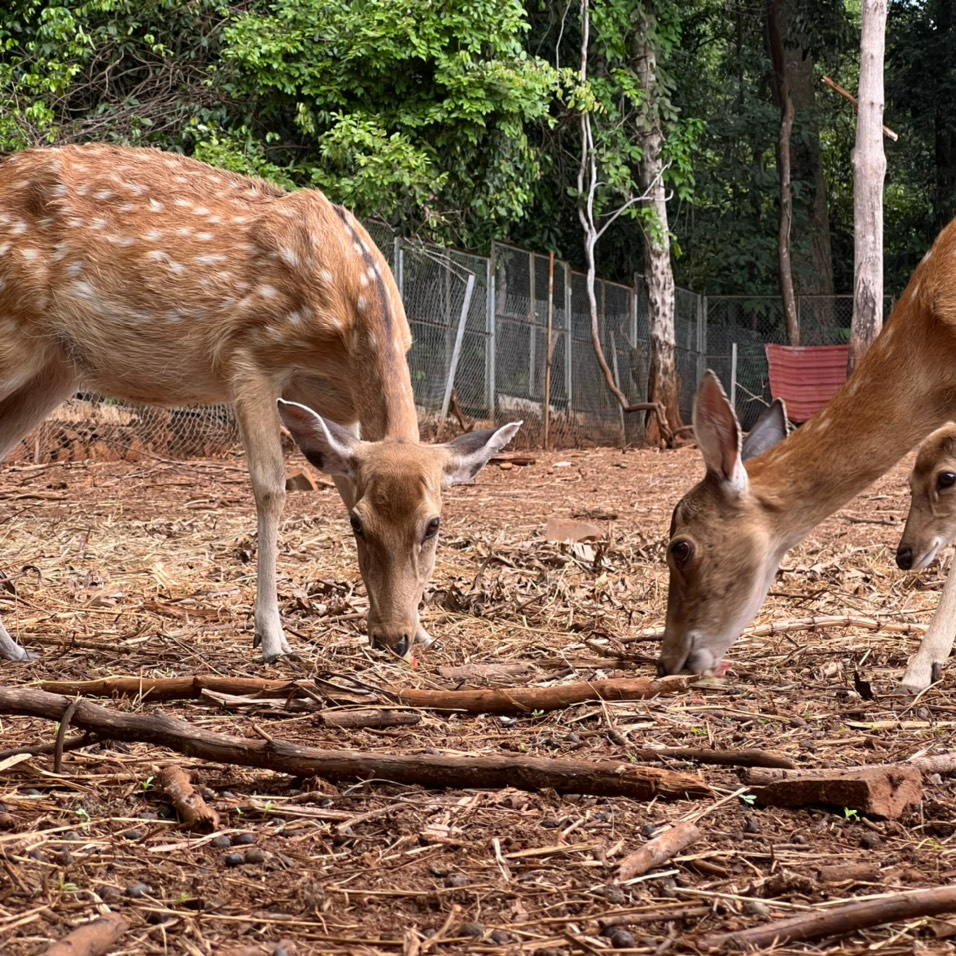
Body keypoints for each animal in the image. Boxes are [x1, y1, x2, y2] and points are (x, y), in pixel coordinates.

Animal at [0, 144, 520, 664]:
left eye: (433, 524)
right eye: (359, 525)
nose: (395, 639)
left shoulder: (332, 403)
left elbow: (339, 479)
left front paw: (423, 631)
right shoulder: (249, 356)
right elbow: (271, 488)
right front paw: (272, 637)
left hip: (58, 367)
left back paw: (15, 647)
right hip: (15, 336)